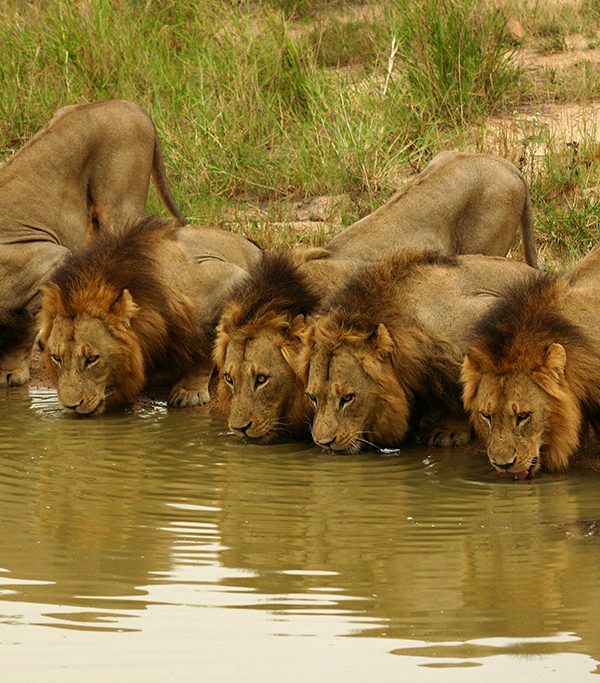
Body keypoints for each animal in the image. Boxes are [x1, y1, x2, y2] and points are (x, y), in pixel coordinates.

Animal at [38, 215, 262, 415]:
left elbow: (205, 345)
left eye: (92, 359)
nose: (71, 406)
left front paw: (189, 392)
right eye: (57, 358)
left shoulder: (230, 279)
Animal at [299, 250, 536, 453]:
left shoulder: (485, 313)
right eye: (312, 397)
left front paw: (448, 431)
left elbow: (463, 389)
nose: (324, 442)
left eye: (347, 398)